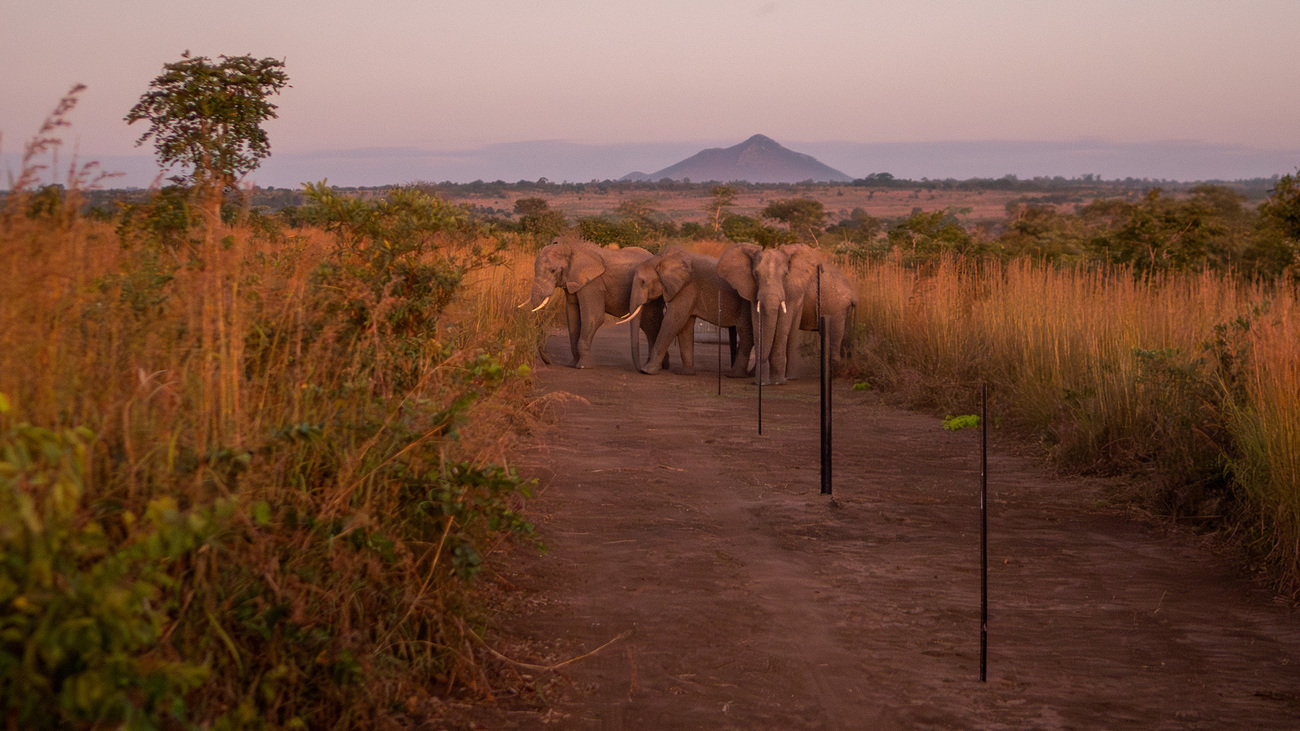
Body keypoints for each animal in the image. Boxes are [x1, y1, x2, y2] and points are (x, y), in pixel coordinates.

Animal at [527, 236, 670, 366]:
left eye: (553, 270)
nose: (549, 362)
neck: (570, 247)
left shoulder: (593, 283)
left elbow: (593, 318)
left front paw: (583, 366)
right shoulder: (573, 282)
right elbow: (572, 318)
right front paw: (572, 364)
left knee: (650, 322)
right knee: (649, 325)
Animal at [618, 247, 754, 377]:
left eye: (643, 282)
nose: (639, 369)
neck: (660, 259)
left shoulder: (687, 288)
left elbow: (673, 322)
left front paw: (647, 371)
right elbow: (685, 326)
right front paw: (685, 373)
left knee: (745, 333)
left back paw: (736, 375)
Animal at [717, 240, 857, 387]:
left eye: (785, 275)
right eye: (755, 274)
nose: (762, 383)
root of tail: (852, 293)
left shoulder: (791, 290)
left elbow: (781, 328)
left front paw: (777, 382)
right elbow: (758, 326)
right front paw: (762, 381)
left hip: (836, 308)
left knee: (834, 338)